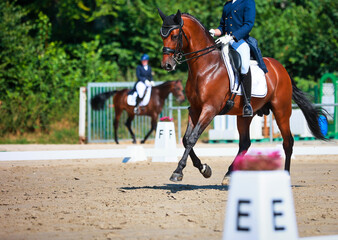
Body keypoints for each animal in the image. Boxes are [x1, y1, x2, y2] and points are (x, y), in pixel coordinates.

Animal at [158, 9, 328, 184]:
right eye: (162, 35)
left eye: (174, 36)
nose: (167, 65)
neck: (206, 67)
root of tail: (281, 69)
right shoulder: (195, 109)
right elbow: (186, 139)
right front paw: (204, 168)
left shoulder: (209, 109)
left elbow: (192, 138)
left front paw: (179, 171)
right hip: (245, 115)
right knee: (245, 143)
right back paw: (228, 174)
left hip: (282, 111)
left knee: (288, 142)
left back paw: (285, 176)